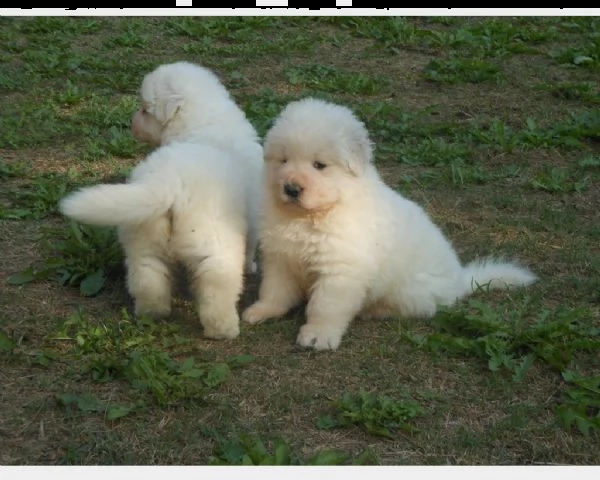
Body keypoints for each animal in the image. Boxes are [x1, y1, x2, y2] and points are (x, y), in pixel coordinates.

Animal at [59, 62, 264, 340]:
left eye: (145, 110)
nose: (132, 122)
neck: (200, 123)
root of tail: (168, 182)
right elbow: (251, 247)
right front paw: (251, 266)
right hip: (213, 242)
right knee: (216, 287)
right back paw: (224, 329)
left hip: (143, 235)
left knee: (147, 276)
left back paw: (152, 312)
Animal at [241, 98, 536, 352]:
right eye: (284, 160)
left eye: (319, 165)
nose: (291, 188)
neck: (312, 216)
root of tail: (458, 280)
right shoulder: (281, 256)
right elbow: (275, 290)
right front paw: (262, 310)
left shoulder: (340, 270)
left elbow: (325, 306)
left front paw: (318, 336)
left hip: (409, 289)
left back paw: (372, 310)